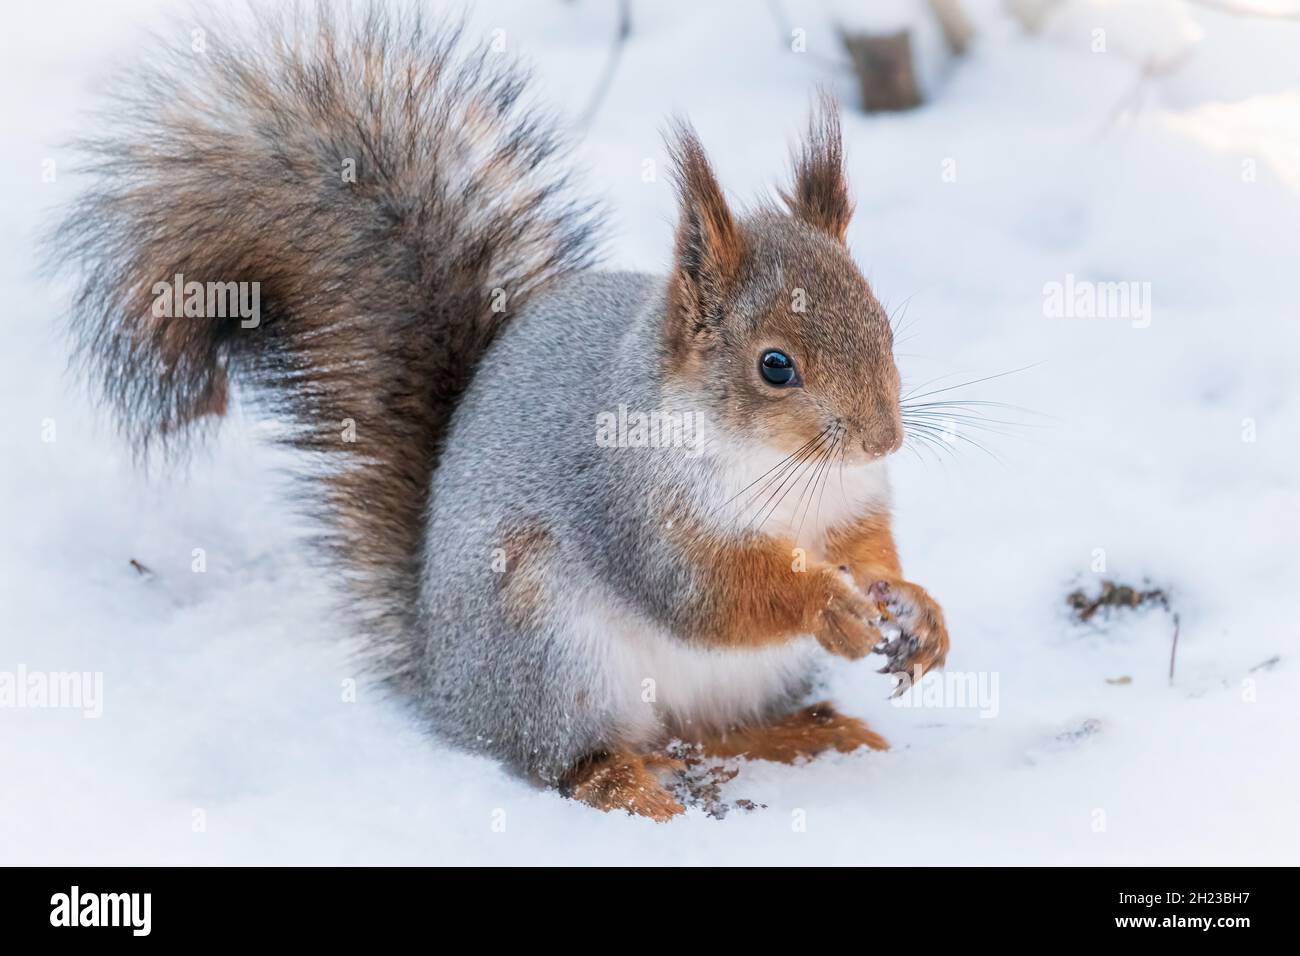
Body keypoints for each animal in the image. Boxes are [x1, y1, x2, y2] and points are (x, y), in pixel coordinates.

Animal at [51, 5, 949, 820]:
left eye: (885, 326)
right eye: (774, 366)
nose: (885, 437)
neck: (781, 468)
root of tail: (449, 688)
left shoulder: (848, 503)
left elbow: (867, 546)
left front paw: (914, 606)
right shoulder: (632, 510)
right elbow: (708, 593)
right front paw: (829, 604)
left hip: (740, 676)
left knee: (712, 729)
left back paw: (805, 733)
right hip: (550, 647)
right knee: (567, 759)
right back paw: (631, 786)